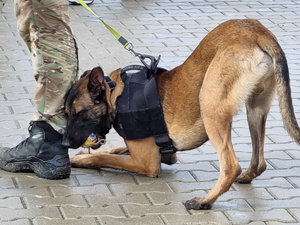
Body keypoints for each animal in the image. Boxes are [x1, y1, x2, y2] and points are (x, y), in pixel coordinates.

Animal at [61, 18, 300, 210]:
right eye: (66, 114)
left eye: (79, 113)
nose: (64, 143)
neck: (115, 94)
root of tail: (256, 29)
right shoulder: (158, 152)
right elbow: (114, 149)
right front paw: (80, 155)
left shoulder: (146, 162)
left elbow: (103, 157)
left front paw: (80, 160)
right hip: (256, 108)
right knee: (259, 162)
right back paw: (245, 177)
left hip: (210, 104)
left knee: (230, 166)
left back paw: (204, 201)